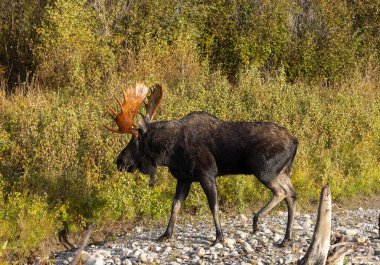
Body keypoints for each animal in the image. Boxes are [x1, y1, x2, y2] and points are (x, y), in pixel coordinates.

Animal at [105, 83, 298, 245]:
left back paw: (257, 220)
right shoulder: (184, 178)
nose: (120, 161)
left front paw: (219, 236)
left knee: (282, 192)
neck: (168, 152)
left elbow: (213, 206)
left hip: (265, 171)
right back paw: (285, 239)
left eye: (134, 141)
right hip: (282, 172)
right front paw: (166, 234)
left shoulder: (206, 174)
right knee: (292, 195)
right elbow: (175, 205)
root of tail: (295, 141)